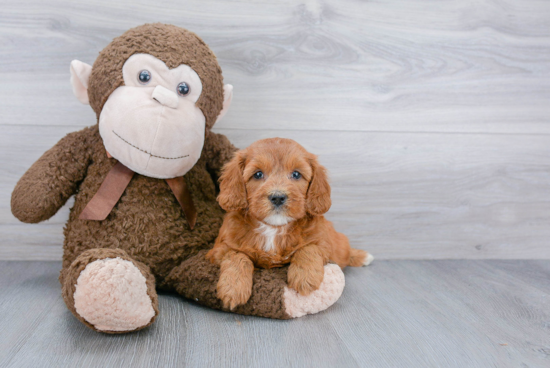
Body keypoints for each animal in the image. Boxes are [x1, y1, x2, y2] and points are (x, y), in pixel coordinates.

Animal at [208, 138, 376, 310]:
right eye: (258, 174)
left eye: (296, 174)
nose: (277, 197)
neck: (273, 228)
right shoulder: (219, 249)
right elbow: (237, 255)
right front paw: (233, 288)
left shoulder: (323, 243)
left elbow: (309, 248)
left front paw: (305, 278)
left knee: (345, 251)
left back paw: (362, 256)